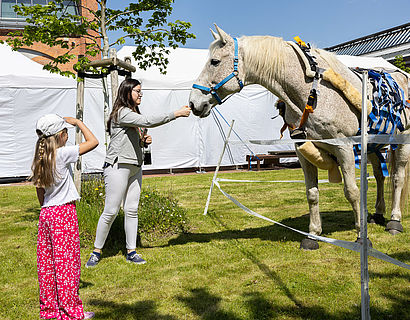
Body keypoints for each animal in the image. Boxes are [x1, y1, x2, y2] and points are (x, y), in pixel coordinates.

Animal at [190, 25, 410, 250]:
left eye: (214, 61)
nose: (193, 103)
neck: (311, 93)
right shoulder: (302, 150)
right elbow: (312, 193)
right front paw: (313, 234)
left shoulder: (344, 147)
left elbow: (352, 191)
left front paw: (361, 238)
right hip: (373, 146)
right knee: (380, 176)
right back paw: (378, 214)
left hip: (401, 142)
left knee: (397, 178)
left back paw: (394, 220)